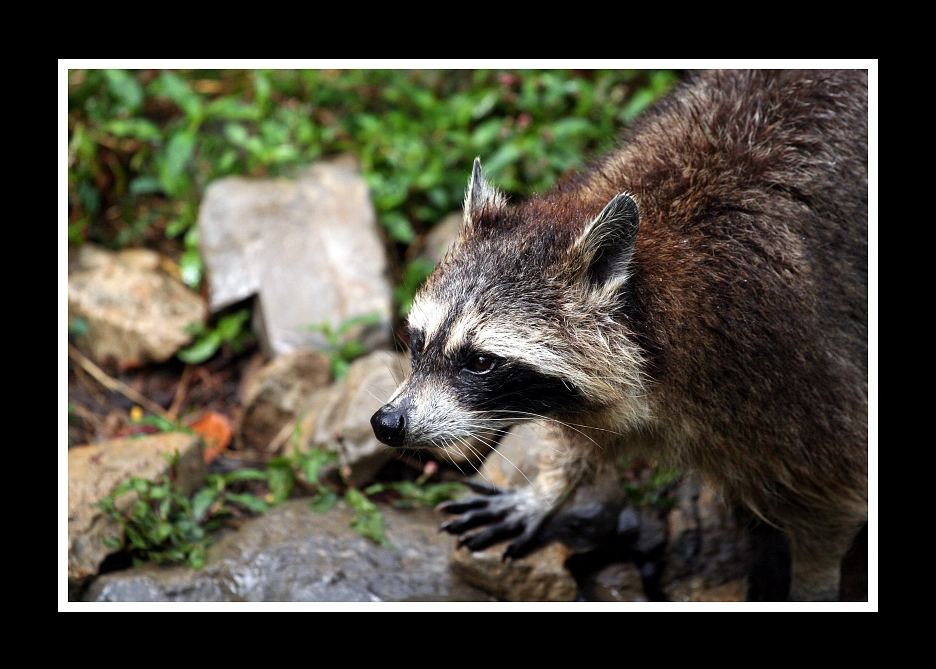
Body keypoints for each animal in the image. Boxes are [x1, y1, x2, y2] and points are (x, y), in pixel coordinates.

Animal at [370, 70, 868, 604]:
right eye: (418, 341)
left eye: (479, 361)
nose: (387, 423)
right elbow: (589, 433)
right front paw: (552, 486)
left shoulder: (791, 365)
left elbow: (832, 499)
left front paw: (813, 583)